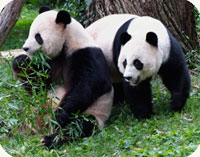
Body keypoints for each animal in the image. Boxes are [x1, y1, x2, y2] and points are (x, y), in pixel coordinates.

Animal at [11, 6, 113, 148]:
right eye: (30, 34)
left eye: (38, 37)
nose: (25, 48)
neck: (68, 40)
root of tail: (39, 126)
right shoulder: (52, 61)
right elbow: (38, 86)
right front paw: (20, 61)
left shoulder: (86, 55)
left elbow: (86, 87)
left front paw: (58, 117)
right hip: (29, 110)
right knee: (14, 118)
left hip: (93, 113)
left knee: (79, 126)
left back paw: (49, 139)